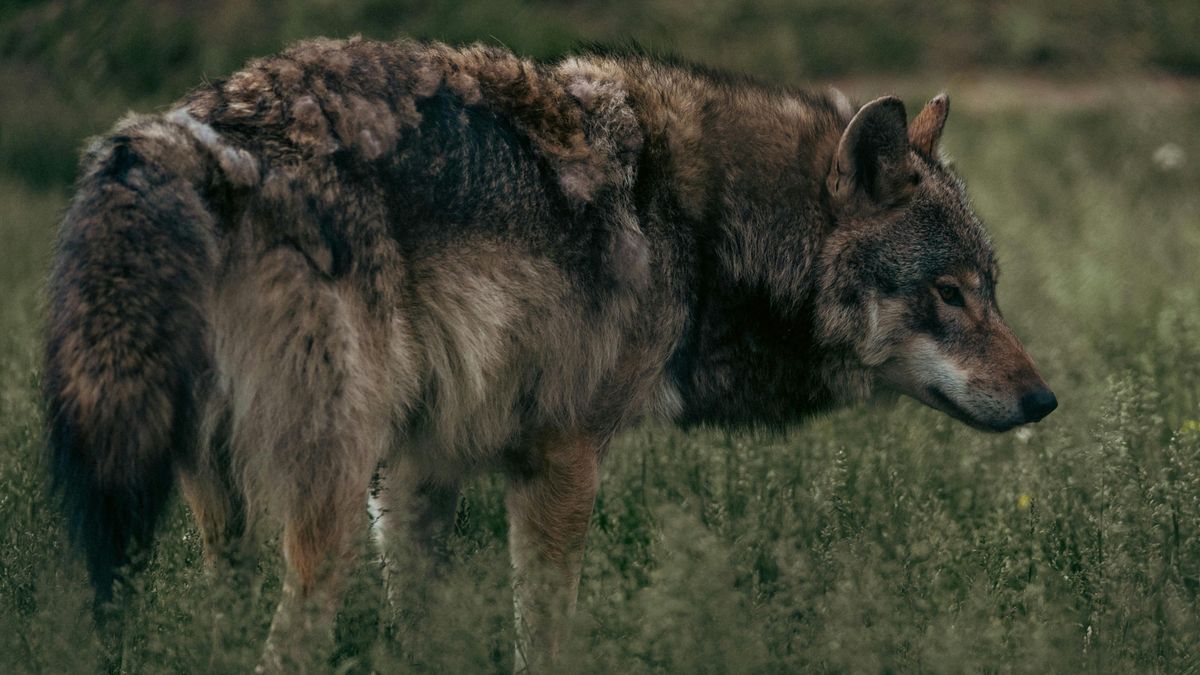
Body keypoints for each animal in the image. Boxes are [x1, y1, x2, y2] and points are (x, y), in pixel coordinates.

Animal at [46, 35, 1056, 667]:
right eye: (950, 292)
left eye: (991, 285)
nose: (1045, 401)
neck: (701, 227)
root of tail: (183, 135)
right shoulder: (560, 459)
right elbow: (545, 639)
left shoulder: (416, 470)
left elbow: (423, 635)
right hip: (322, 500)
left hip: (223, 510)